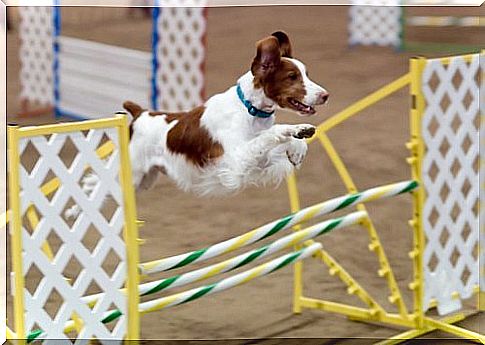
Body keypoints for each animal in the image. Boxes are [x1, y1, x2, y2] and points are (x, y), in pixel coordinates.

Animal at [66, 31, 328, 215]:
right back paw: (74, 210)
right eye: (292, 77)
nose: (325, 95)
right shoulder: (236, 160)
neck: (249, 110)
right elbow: (273, 132)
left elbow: (276, 143)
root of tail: (140, 113)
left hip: (142, 180)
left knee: (98, 183)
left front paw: (298, 147)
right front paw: (298, 131)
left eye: (306, 74)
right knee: (98, 184)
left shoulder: (255, 162)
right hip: (133, 173)